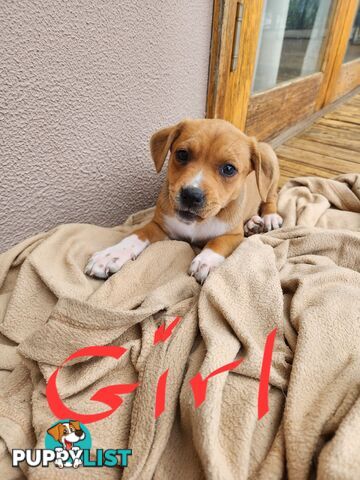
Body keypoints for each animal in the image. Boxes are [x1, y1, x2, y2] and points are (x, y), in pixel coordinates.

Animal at [86, 119, 282, 284]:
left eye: (228, 169)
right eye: (182, 154)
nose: (191, 195)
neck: (196, 224)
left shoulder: (233, 235)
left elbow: (218, 242)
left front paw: (205, 260)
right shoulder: (159, 225)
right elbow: (136, 235)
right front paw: (110, 255)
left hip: (272, 168)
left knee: (270, 197)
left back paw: (269, 218)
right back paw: (252, 224)